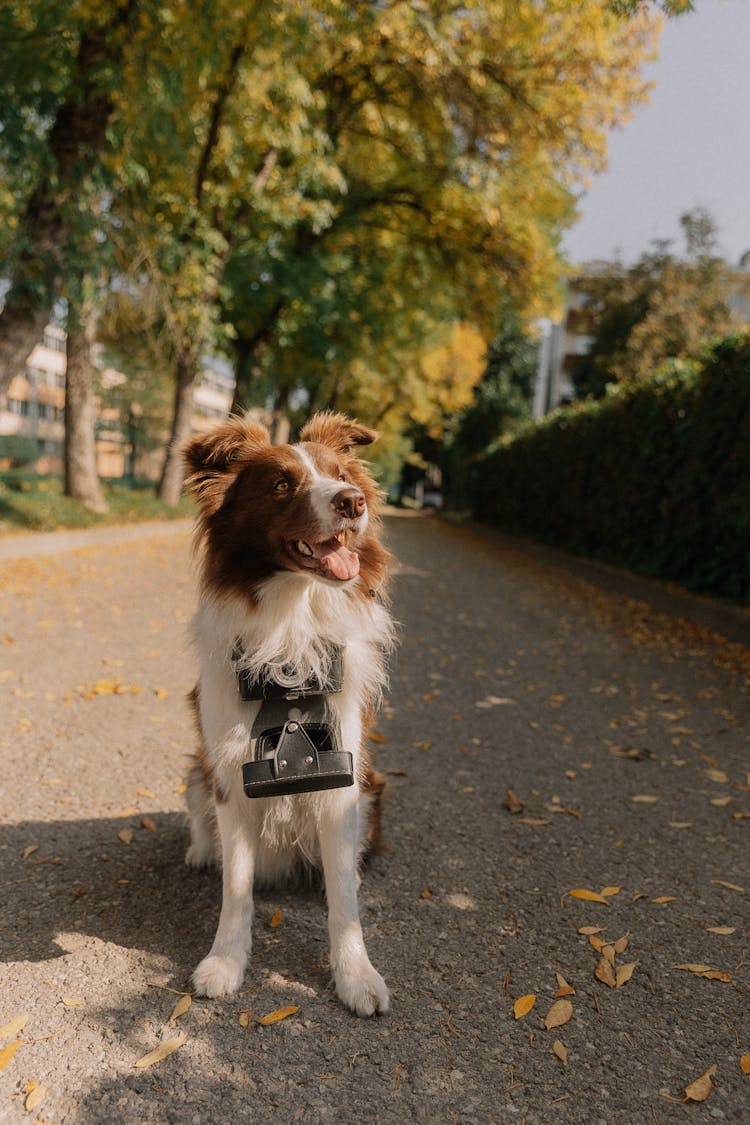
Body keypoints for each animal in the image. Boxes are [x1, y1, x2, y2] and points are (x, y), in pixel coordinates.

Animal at [183, 409, 393, 1017]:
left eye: (341, 474)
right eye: (281, 484)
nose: (352, 501)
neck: (291, 621)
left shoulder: (343, 777)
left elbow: (343, 898)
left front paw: (356, 976)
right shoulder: (230, 773)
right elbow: (236, 888)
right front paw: (225, 962)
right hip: (198, 769)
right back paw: (200, 850)